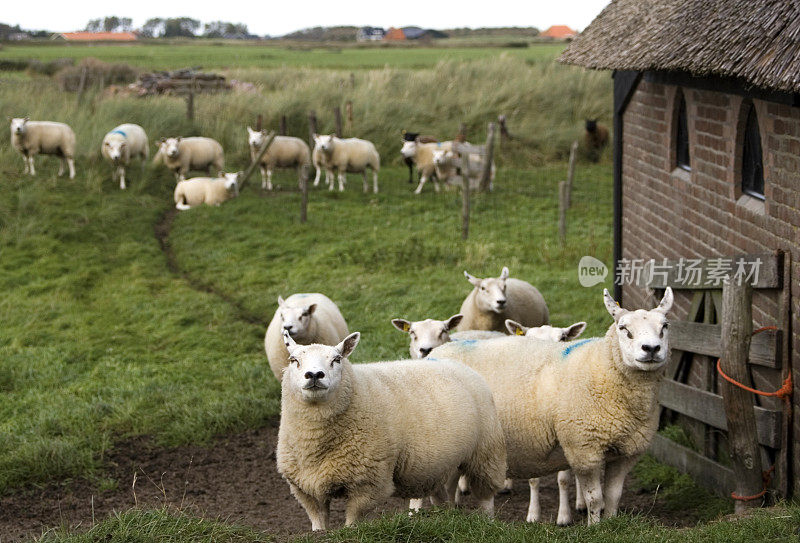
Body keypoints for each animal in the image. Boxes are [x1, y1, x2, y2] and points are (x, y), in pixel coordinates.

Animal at [278, 332, 510, 532]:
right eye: (293, 360)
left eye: (337, 359)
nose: (314, 375)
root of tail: (455, 364)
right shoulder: (304, 488)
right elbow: (318, 522)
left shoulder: (369, 484)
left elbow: (353, 522)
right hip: (439, 465)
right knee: (443, 496)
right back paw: (446, 519)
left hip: (486, 451)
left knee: (486, 496)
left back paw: (488, 523)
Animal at [432, 286, 676, 524]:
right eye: (623, 328)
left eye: (665, 326)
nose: (651, 348)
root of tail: (439, 351)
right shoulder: (583, 448)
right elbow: (595, 499)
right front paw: (594, 527)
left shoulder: (626, 452)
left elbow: (613, 496)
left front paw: (609, 525)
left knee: (449, 484)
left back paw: (449, 514)